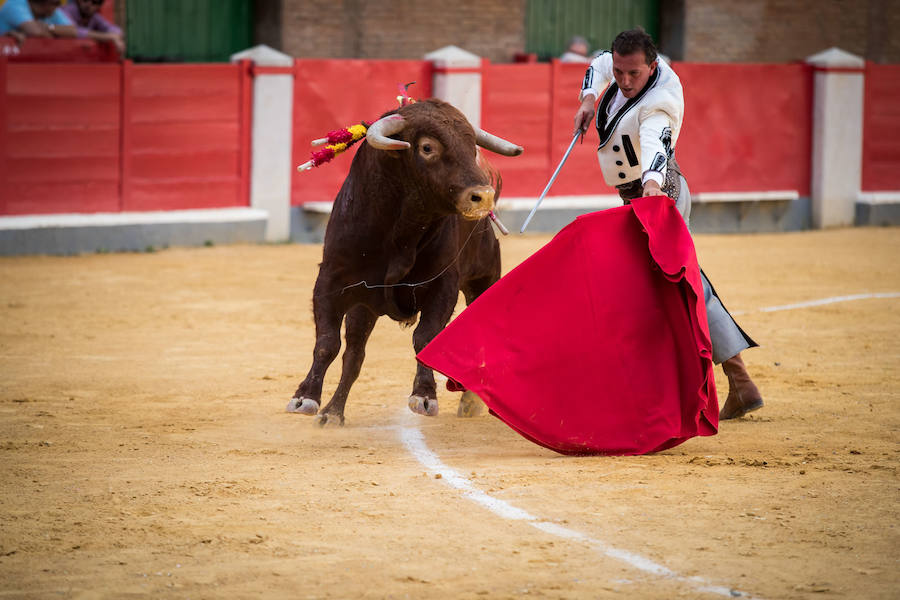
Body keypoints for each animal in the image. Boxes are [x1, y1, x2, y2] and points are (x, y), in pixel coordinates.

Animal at [288, 98, 524, 424]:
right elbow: (327, 342)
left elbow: (425, 339)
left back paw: (470, 401)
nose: (483, 196)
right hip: (364, 307)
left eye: (471, 146)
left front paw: (424, 397)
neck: (401, 231)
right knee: (354, 353)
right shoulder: (330, 282)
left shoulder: (443, 286)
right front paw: (305, 398)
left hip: (484, 278)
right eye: (427, 147)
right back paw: (333, 412)